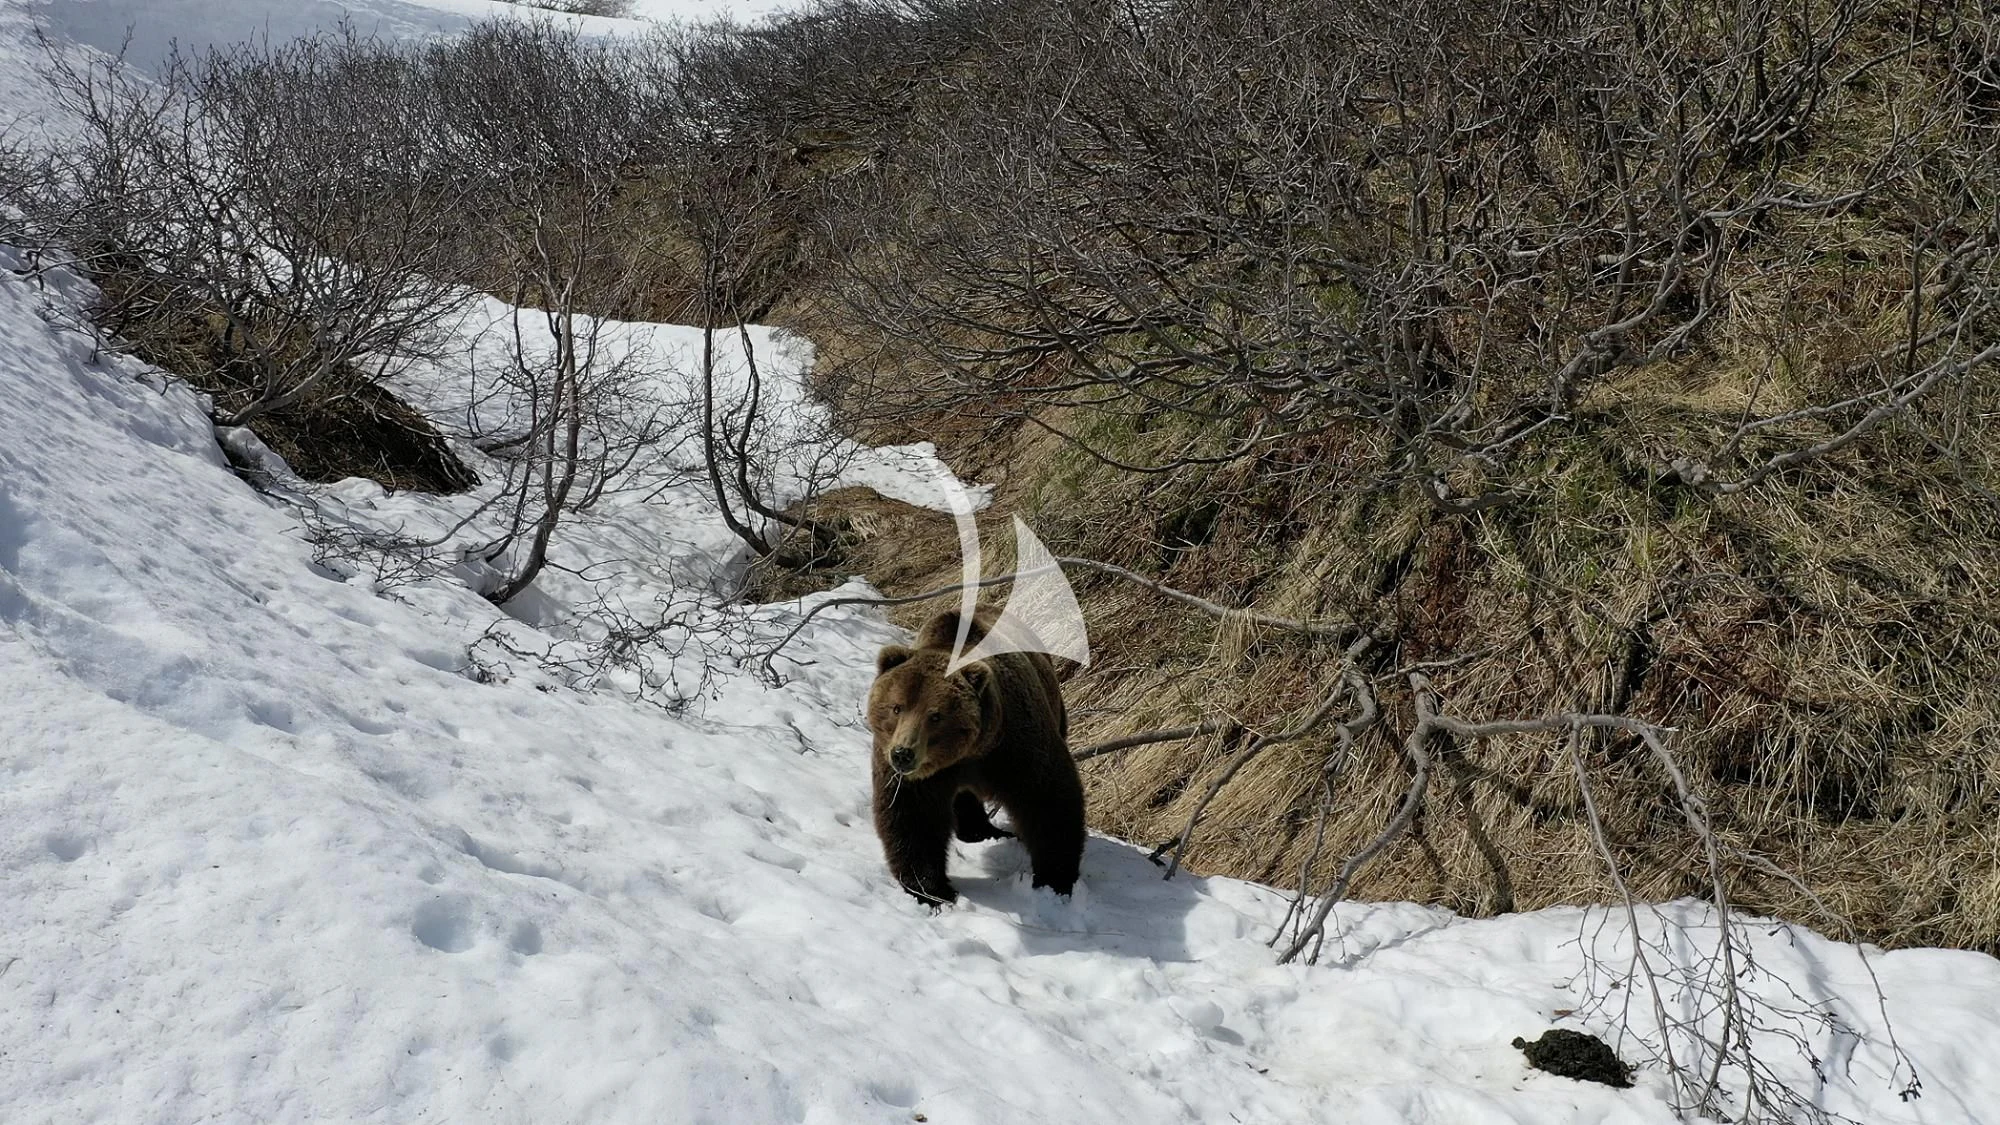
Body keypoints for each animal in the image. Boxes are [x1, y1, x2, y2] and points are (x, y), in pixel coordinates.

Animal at [866, 606, 1085, 907]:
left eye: (935, 716)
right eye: (896, 707)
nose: (903, 754)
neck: (967, 752)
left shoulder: (1015, 745)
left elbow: (1046, 798)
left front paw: (1055, 879)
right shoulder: (915, 774)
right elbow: (912, 816)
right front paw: (931, 890)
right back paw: (979, 830)